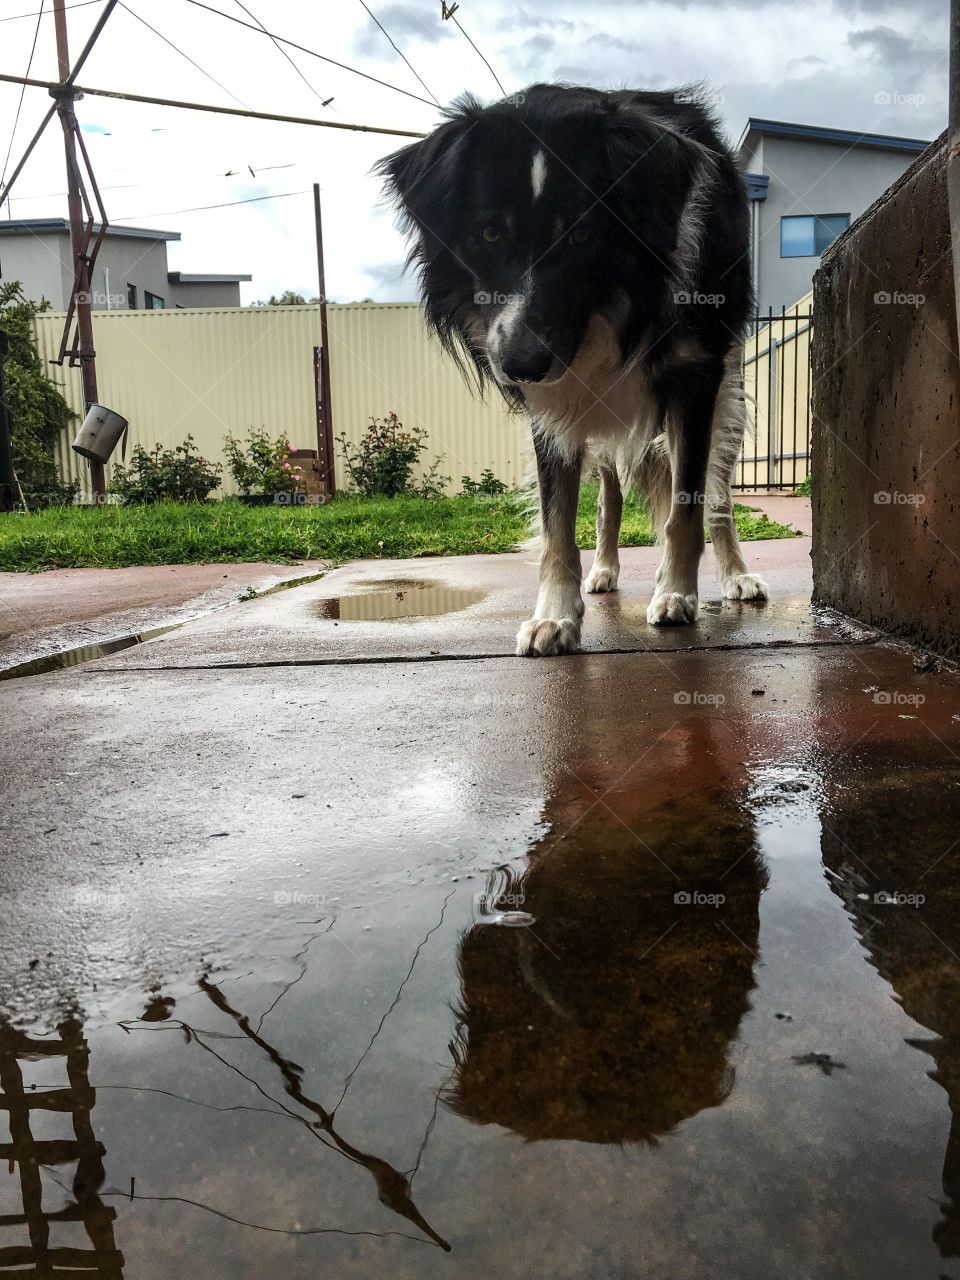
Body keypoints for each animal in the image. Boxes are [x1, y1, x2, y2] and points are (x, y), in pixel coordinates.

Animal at [378, 82, 773, 650]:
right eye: (490, 234)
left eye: (583, 236)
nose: (520, 366)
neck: (613, 307)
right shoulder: (553, 404)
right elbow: (556, 521)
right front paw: (555, 617)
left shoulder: (696, 379)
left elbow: (688, 506)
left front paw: (677, 594)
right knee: (609, 498)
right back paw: (604, 572)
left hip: (729, 395)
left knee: (716, 495)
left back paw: (735, 576)